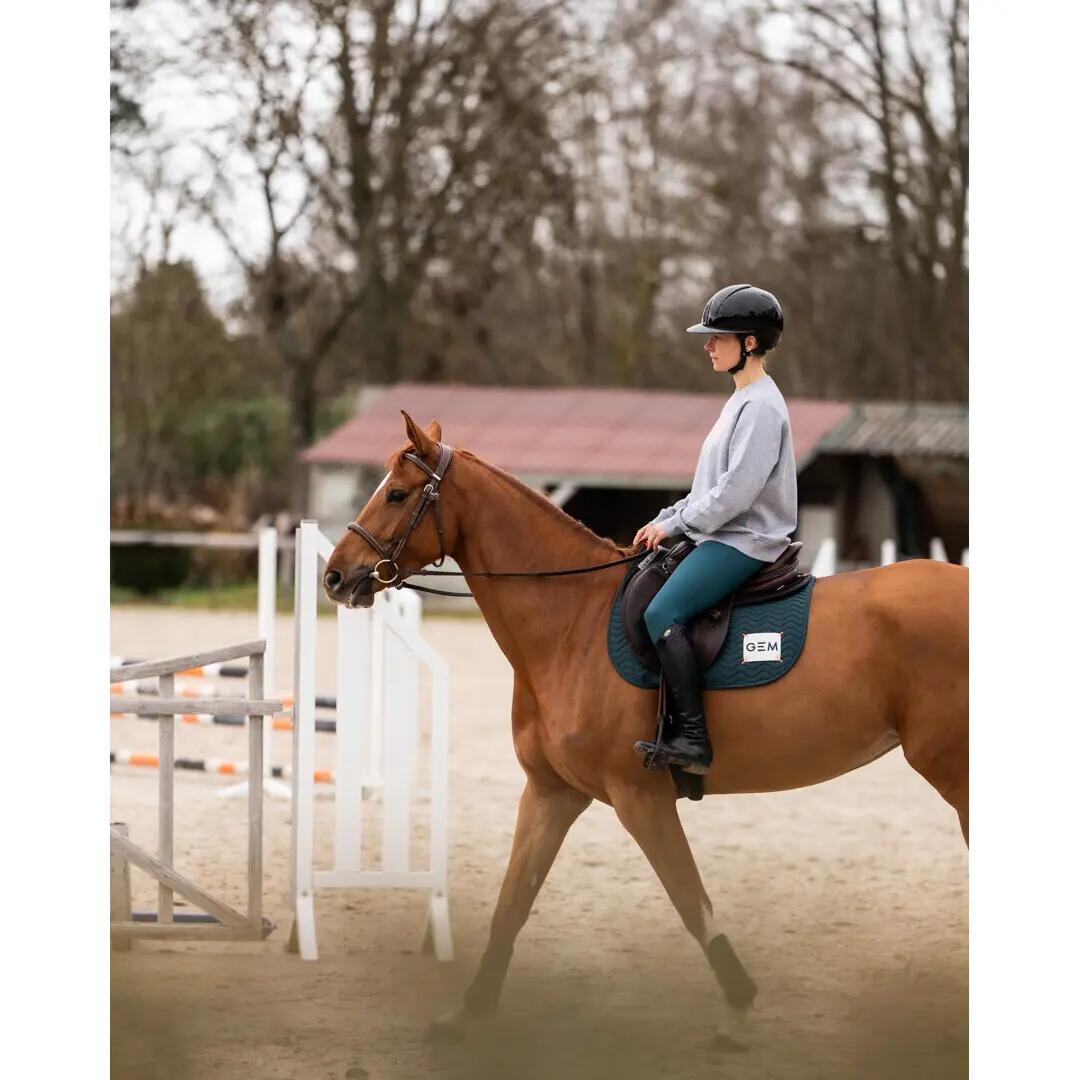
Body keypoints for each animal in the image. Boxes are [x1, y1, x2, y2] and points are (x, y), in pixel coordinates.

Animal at [322, 411, 969, 1049]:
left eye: (398, 493)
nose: (334, 576)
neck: (571, 621)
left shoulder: (640, 798)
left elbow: (689, 900)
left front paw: (738, 1007)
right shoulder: (551, 793)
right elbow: (513, 903)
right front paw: (468, 1011)